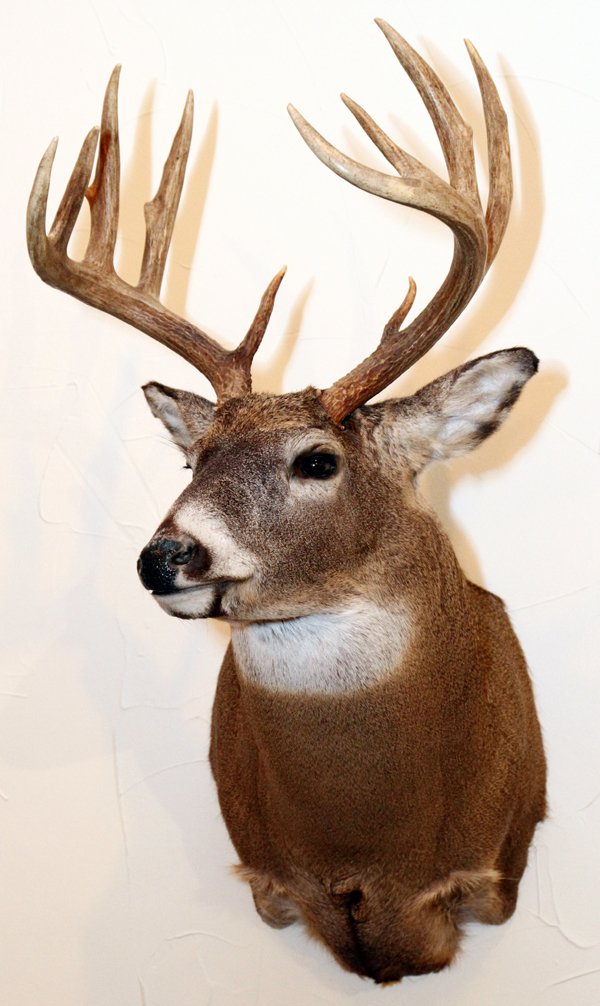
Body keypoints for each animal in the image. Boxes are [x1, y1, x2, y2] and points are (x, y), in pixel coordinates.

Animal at [27, 19, 546, 985]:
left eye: (316, 460)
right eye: (193, 457)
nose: (166, 555)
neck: (364, 849)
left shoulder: (485, 867)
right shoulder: (273, 878)